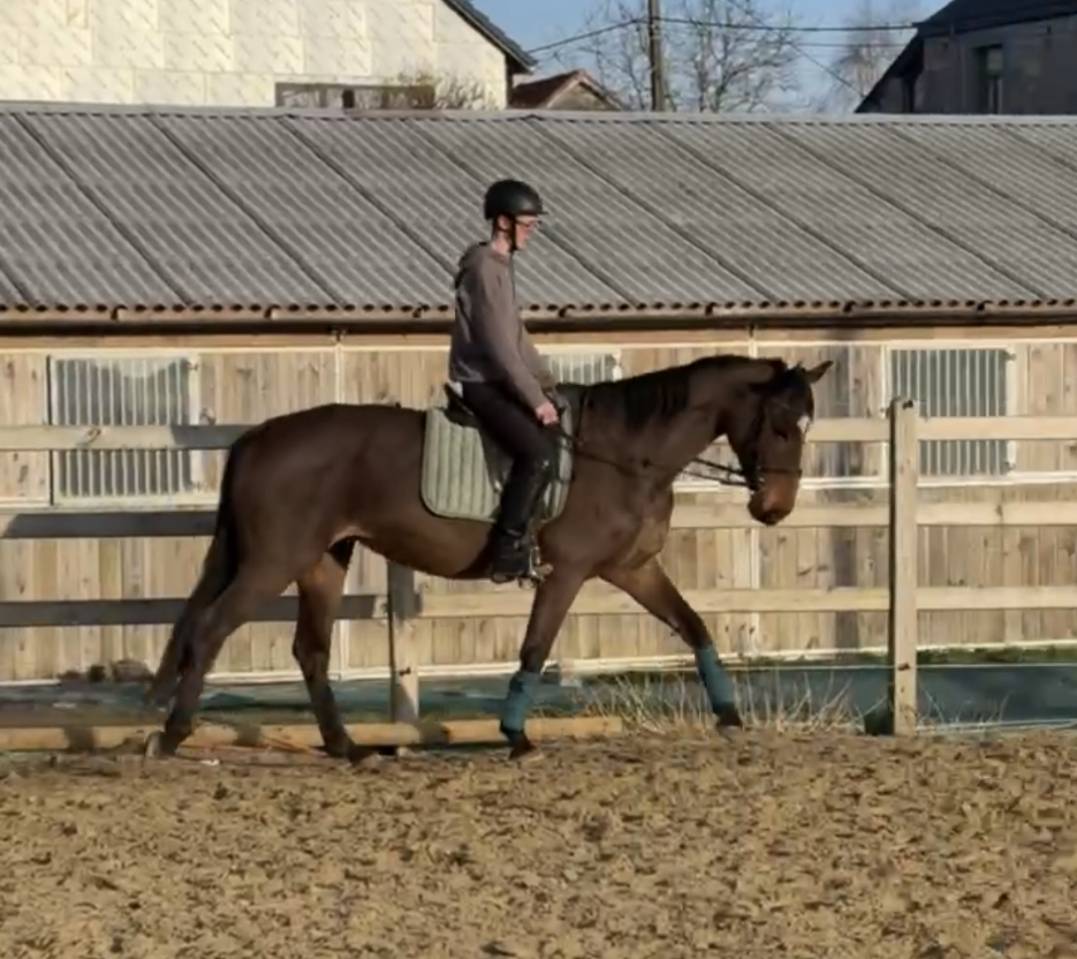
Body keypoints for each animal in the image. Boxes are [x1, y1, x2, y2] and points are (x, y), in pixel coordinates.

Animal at [144, 353, 832, 760]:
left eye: (807, 425)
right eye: (780, 425)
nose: (775, 508)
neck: (625, 453)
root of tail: (257, 437)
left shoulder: (633, 569)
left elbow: (694, 626)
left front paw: (730, 714)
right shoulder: (570, 571)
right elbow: (535, 647)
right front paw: (516, 735)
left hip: (322, 561)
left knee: (308, 650)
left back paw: (345, 747)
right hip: (275, 560)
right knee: (209, 629)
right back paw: (173, 737)